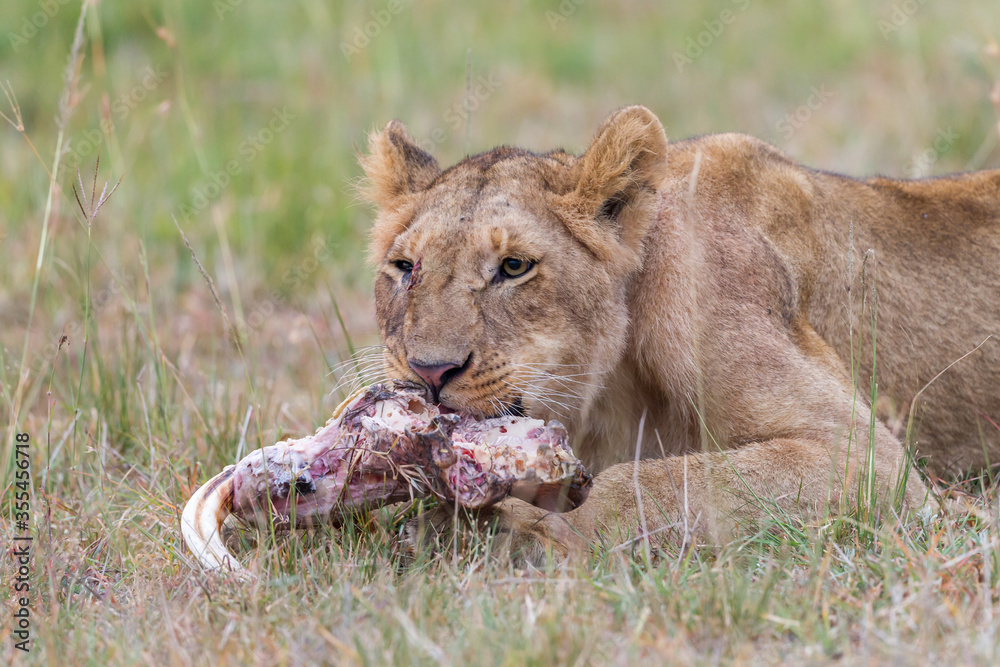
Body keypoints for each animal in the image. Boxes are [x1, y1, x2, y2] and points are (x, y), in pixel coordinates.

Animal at [359, 105, 1000, 555]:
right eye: (405, 267)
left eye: (514, 267)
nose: (429, 371)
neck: (607, 394)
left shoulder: (865, 459)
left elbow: (656, 481)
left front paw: (527, 535)